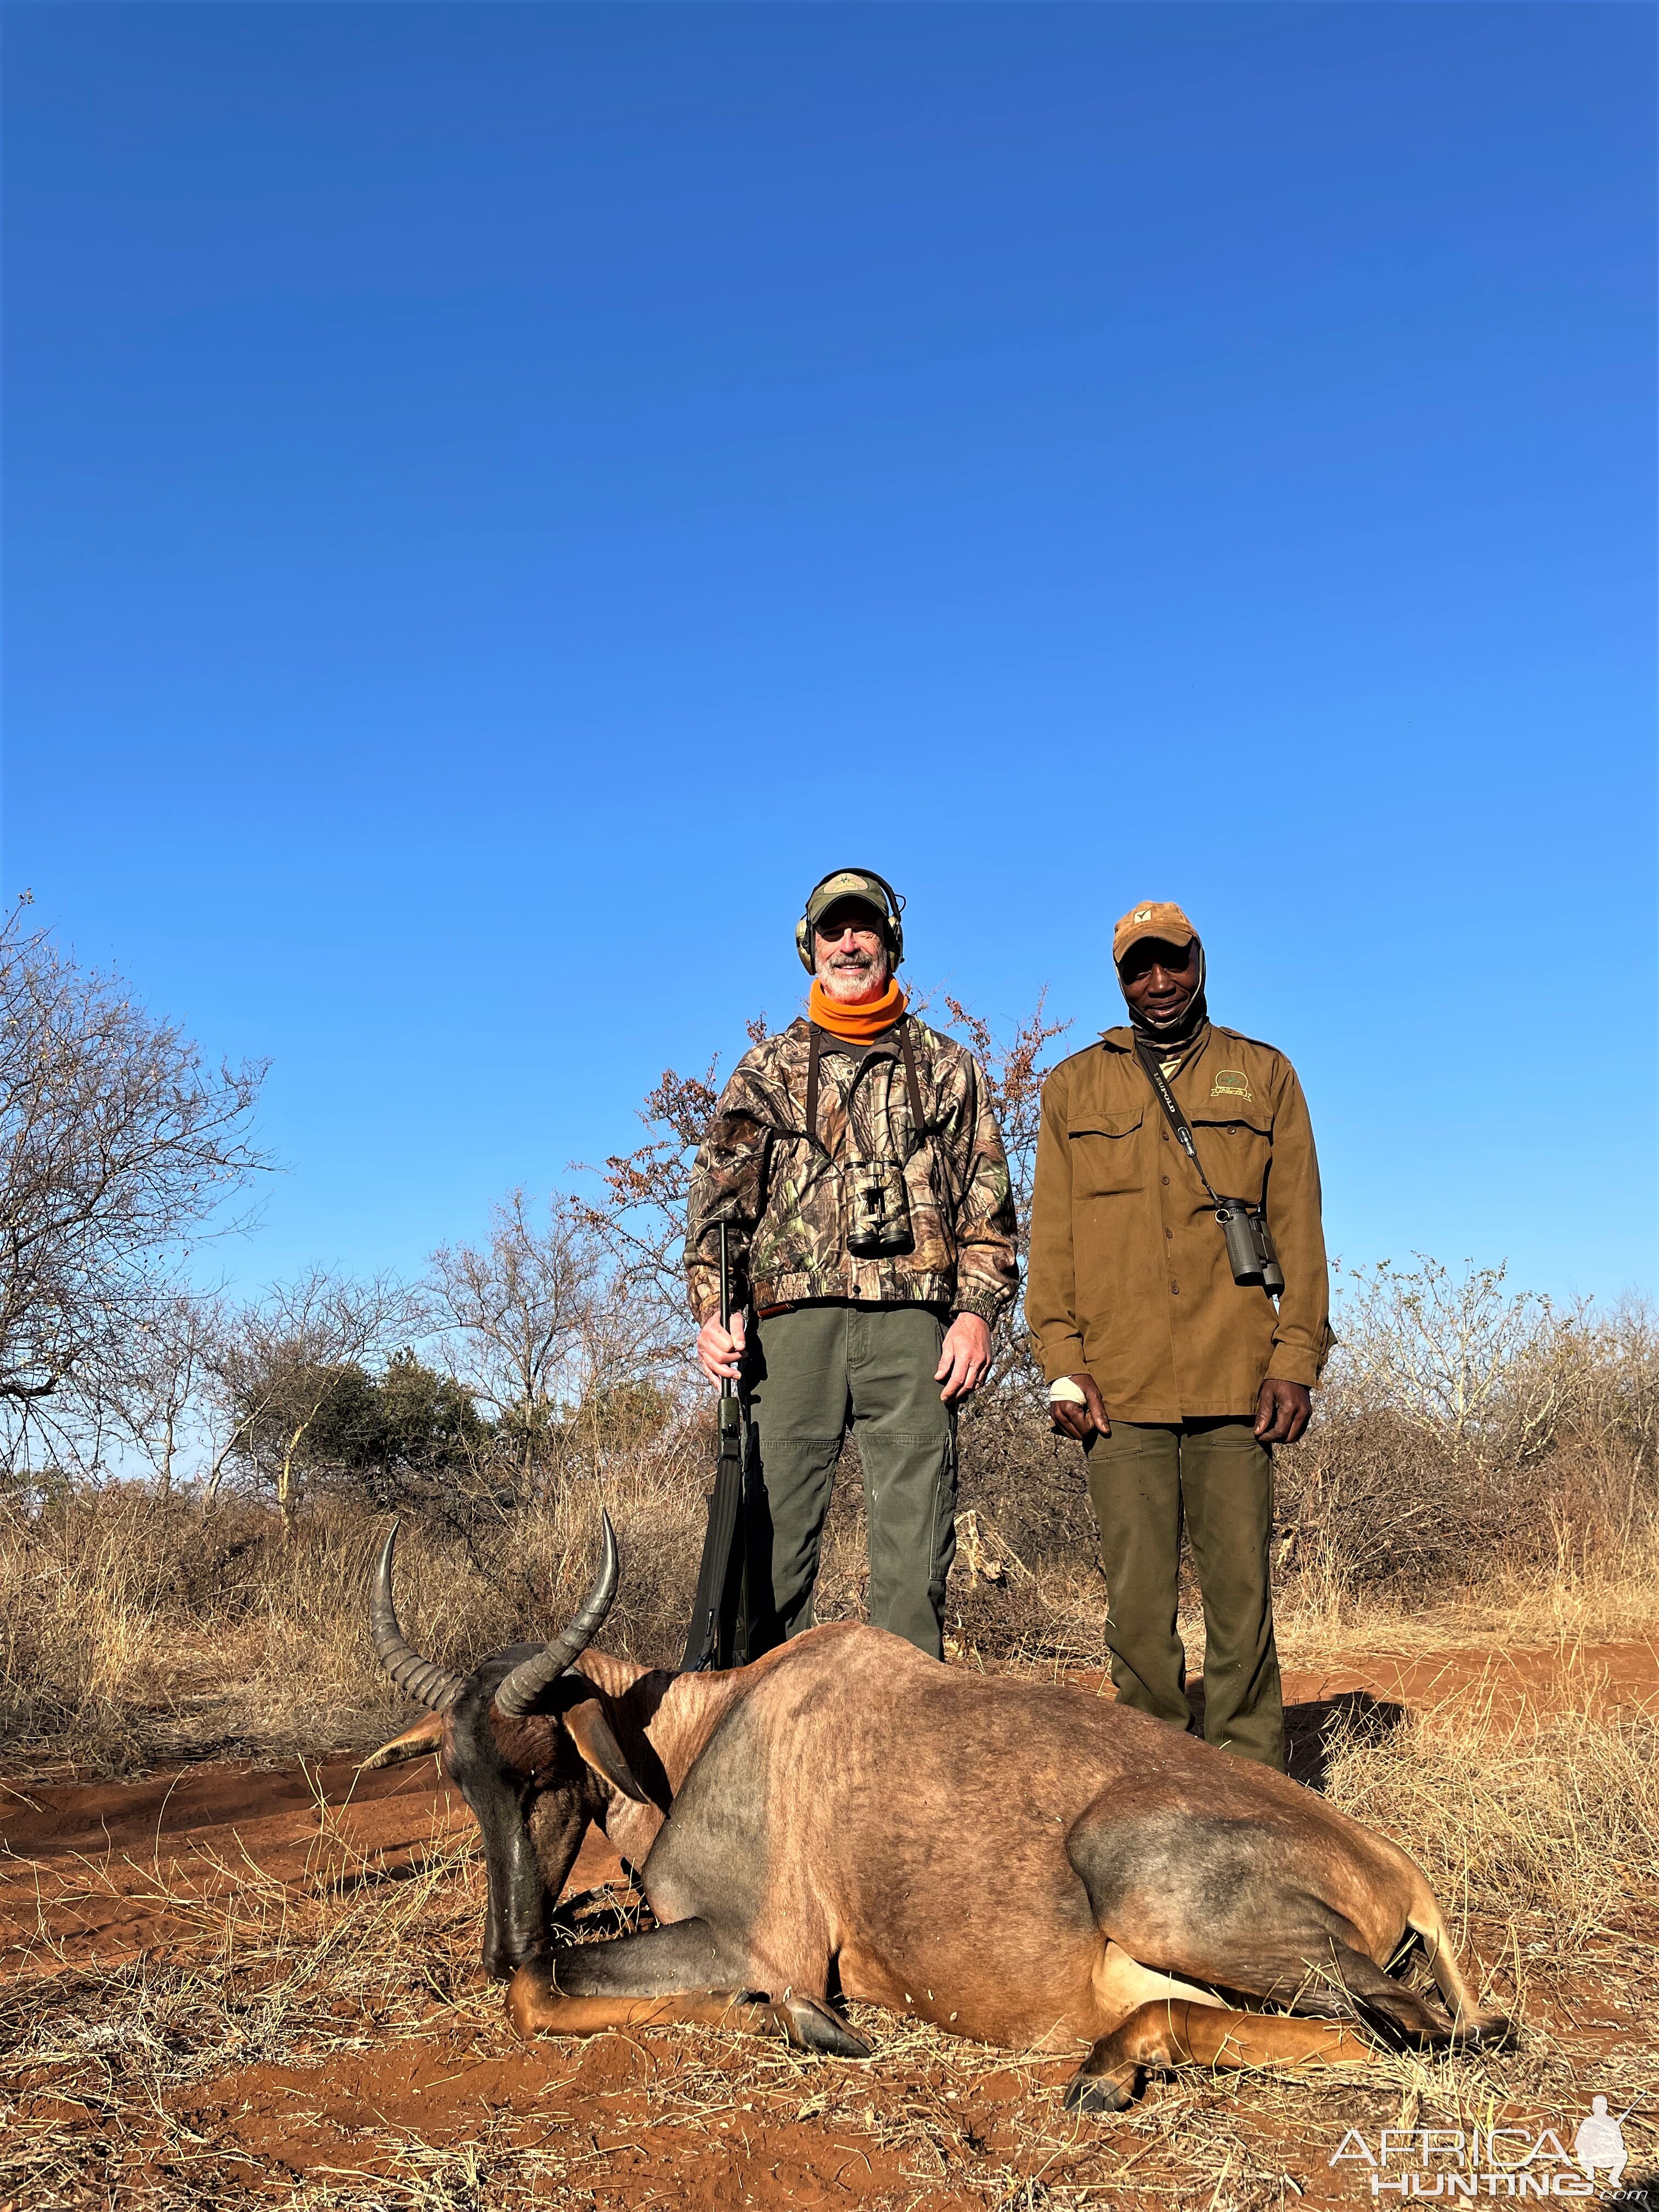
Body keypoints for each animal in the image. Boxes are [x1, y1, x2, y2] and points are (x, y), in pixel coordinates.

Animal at [369, 1522, 1513, 2106]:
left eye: (542, 1769)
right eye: (460, 1780)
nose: (496, 1939)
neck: (722, 1721)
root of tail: (1393, 1866)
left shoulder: (764, 1940)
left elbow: (539, 1991)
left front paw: (806, 2025)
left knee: (1416, 2039)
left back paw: (1106, 2073)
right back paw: (1113, 2063)